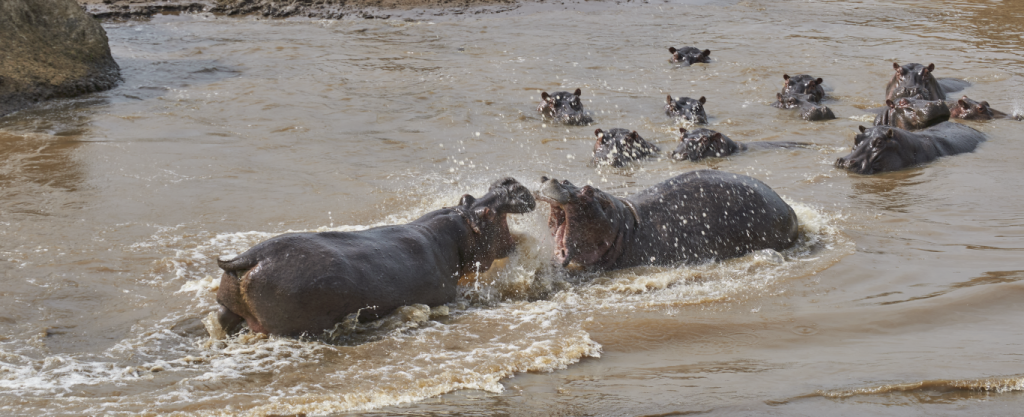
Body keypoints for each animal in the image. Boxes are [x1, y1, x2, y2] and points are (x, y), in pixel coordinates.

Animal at [214, 178, 536, 338]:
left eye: (467, 196)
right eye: (487, 212)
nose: (506, 183)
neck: (458, 225)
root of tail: (249, 256)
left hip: (228, 308)